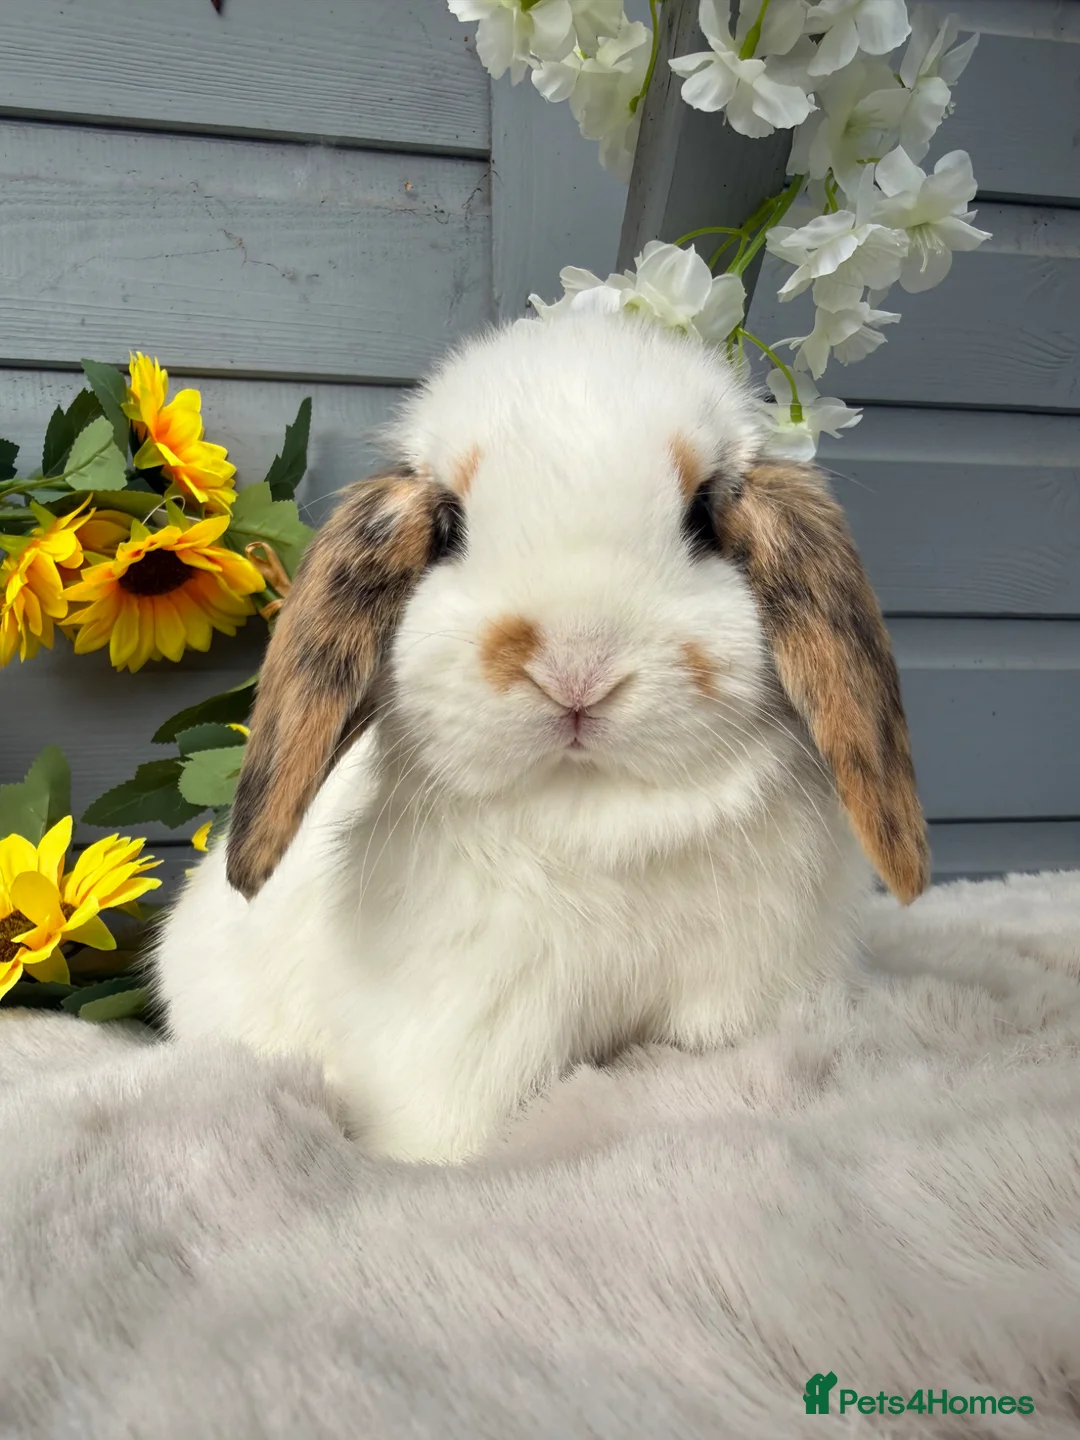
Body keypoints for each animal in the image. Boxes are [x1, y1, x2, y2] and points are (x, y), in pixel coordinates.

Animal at [154, 311, 929, 1163]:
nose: (576, 667)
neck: (596, 813)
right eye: (449, 527)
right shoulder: (468, 1025)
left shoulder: (743, 991)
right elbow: (448, 1124)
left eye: (701, 519)